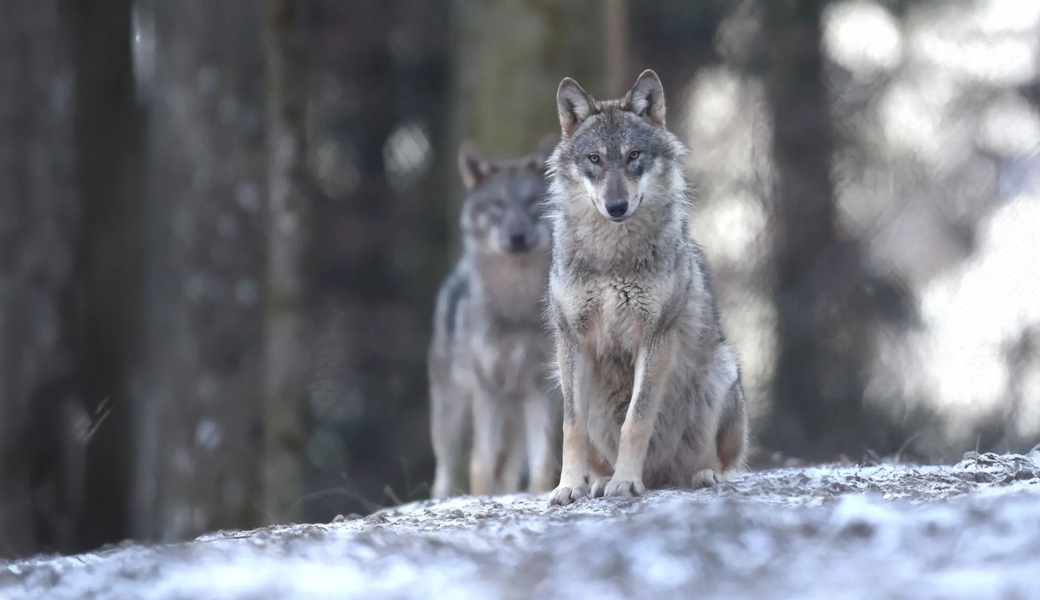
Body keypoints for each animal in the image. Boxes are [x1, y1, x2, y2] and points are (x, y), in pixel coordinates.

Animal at [428, 138, 565, 499]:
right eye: (498, 206)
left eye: (531, 203)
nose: (517, 237)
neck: (515, 308)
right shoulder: (486, 391)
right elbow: (481, 465)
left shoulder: (540, 391)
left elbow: (542, 466)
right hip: (453, 412)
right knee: (445, 470)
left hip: (517, 416)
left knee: (510, 470)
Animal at [544, 67, 748, 503]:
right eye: (594, 159)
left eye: (633, 156)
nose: (616, 206)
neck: (612, 258)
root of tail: (661, 476)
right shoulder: (571, 341)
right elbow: (573, 427)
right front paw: (568, 486)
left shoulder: (655, 336)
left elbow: (636, 421)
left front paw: (625, 481)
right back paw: (599, 480)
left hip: (721, 373)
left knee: (715, 464)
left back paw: (702, 475)